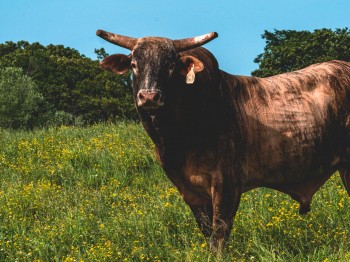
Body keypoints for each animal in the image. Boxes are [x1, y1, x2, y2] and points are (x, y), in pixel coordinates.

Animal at [95, 29, 350, 252]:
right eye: (134, 64)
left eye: (170, 65)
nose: (149, 96)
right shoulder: (189, 190)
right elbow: (207, 230)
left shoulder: (227, 182)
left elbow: (219, 233)